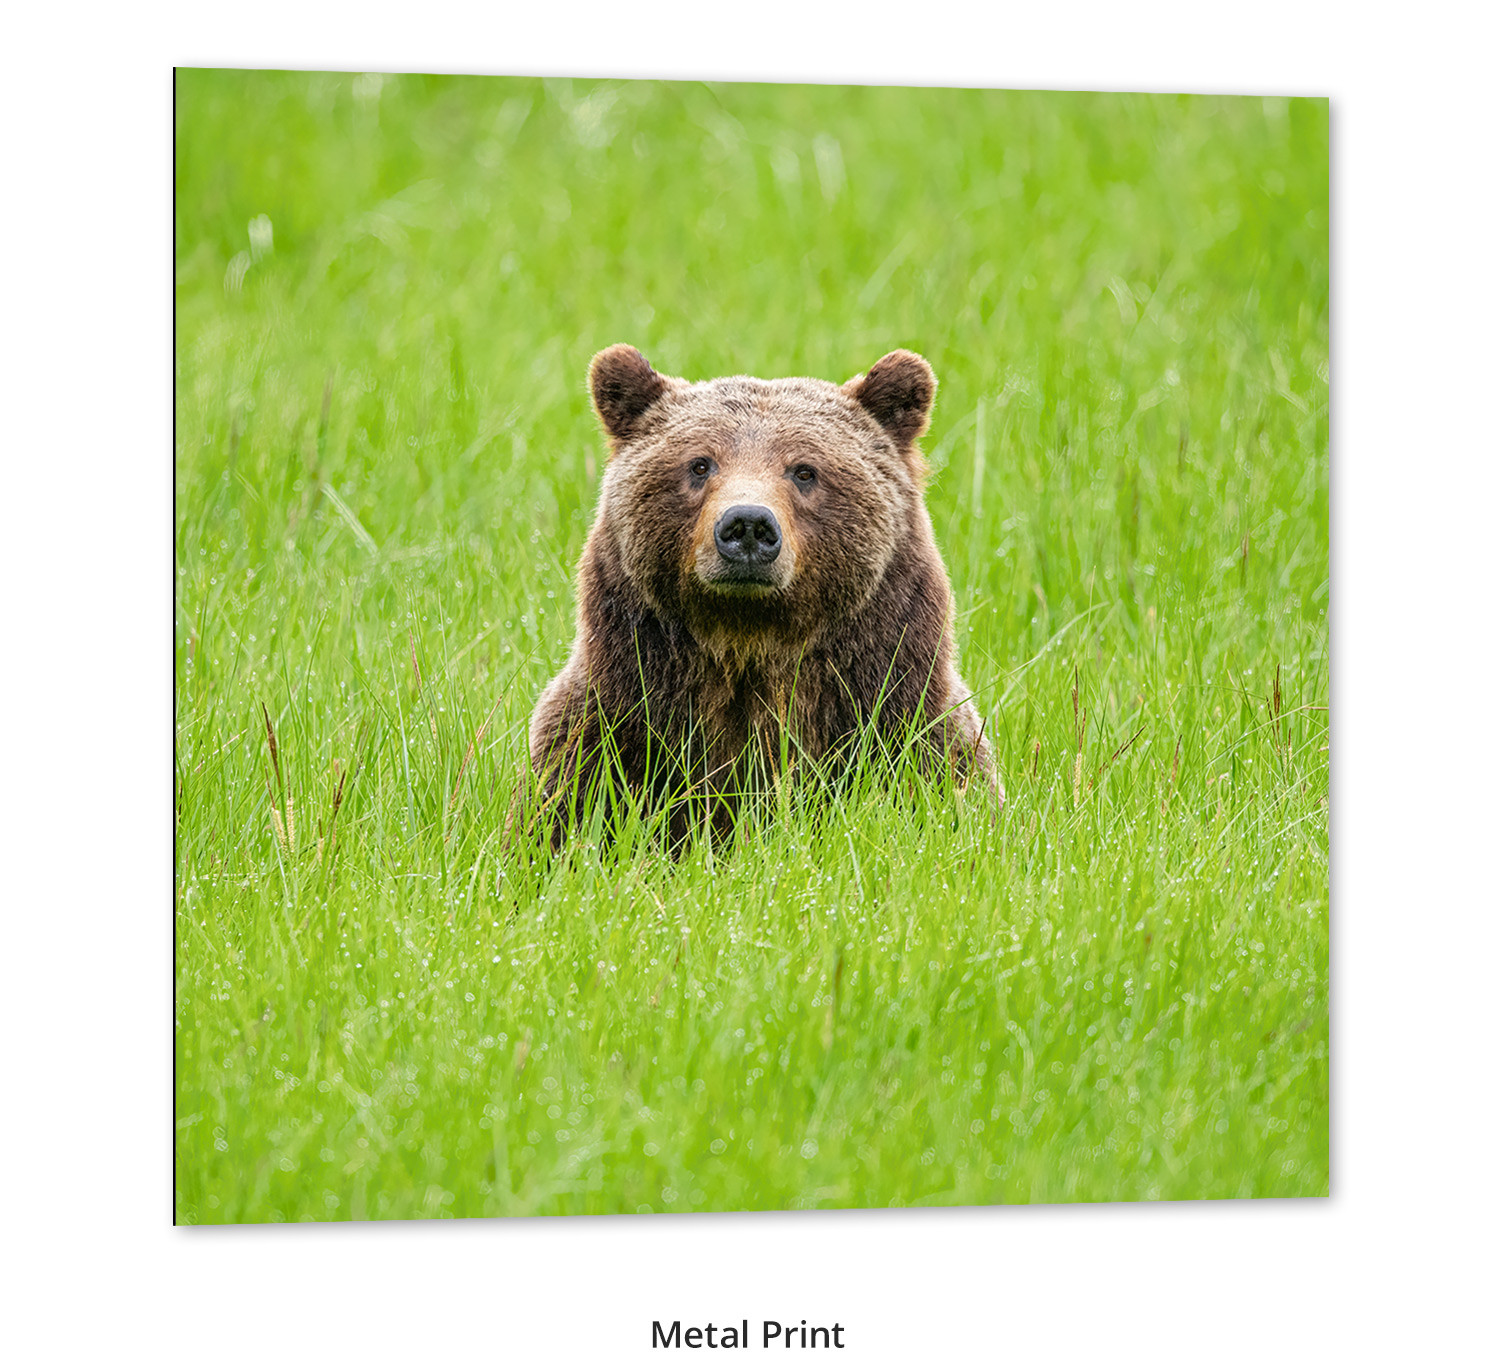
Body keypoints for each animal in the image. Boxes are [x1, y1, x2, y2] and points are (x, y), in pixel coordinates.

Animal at [525, 344, 995, 846]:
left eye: (805, 470)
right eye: (699, 464)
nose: (747, 524)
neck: (750, 642)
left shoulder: (907, 726)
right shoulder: (611, 731)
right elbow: (561, 817)